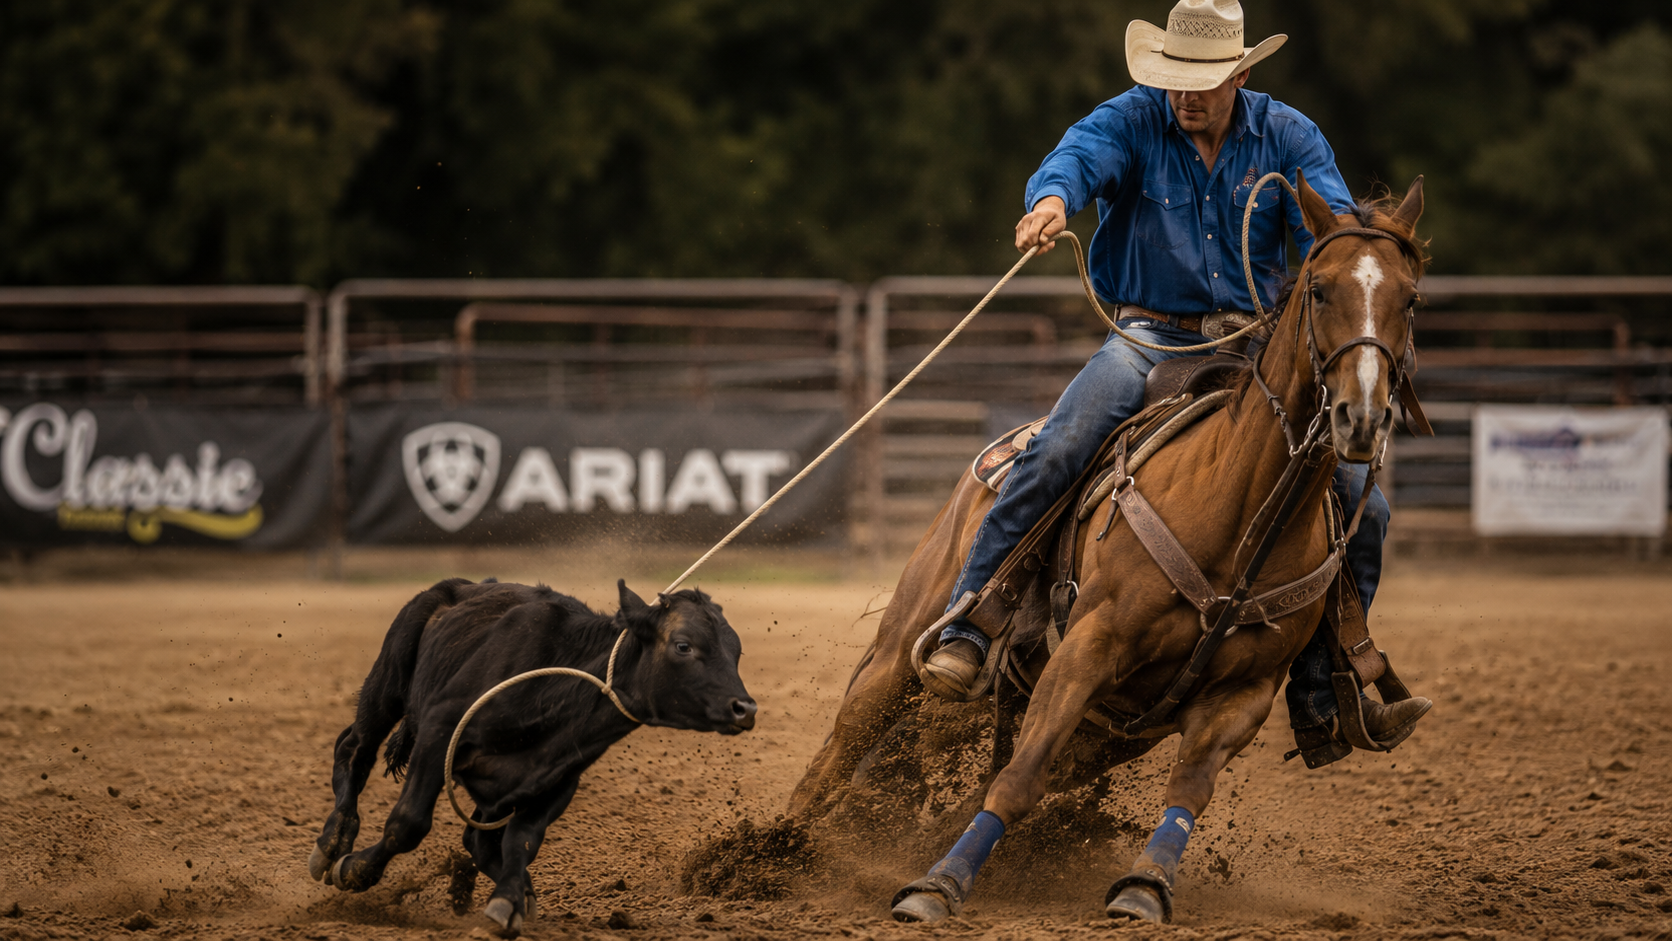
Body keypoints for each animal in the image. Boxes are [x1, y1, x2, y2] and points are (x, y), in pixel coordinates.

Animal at [308, 577, 756, 937]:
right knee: (354, 748)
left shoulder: (558, 779)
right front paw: (355, 869)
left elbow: (521, 840)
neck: (555, 686)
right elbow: (408, 823)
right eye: (683, 645)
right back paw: (333, 840)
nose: (745, 708)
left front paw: (509, 899)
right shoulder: (438, 731)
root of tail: (465, 586)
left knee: (477, 838)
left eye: (736, 652)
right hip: (388, 681)